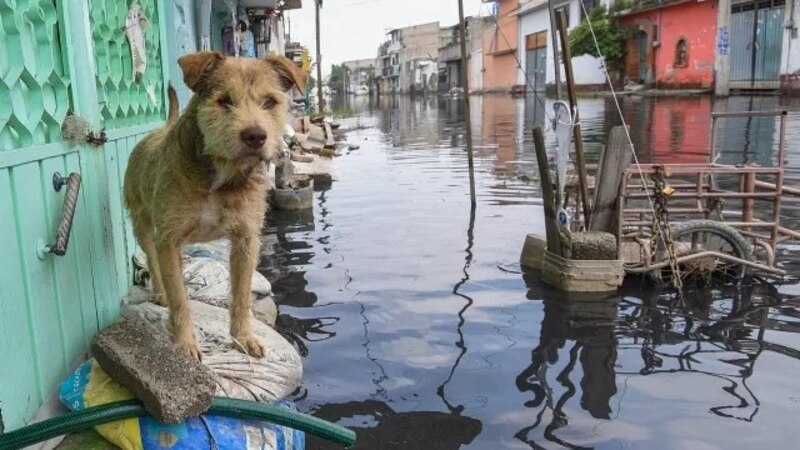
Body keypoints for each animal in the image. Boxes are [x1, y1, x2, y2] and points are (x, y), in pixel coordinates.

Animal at [124, 51, 306, 358]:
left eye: (270, 102)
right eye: (224, 101)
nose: (255, 136)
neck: (221, 179)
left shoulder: (246, 240)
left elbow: (242, 295)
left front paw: (243, 337)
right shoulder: (168, 240)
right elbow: (180, 300)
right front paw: (185, 344)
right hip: (143, 225)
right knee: (153, 261)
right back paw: (160, 293)